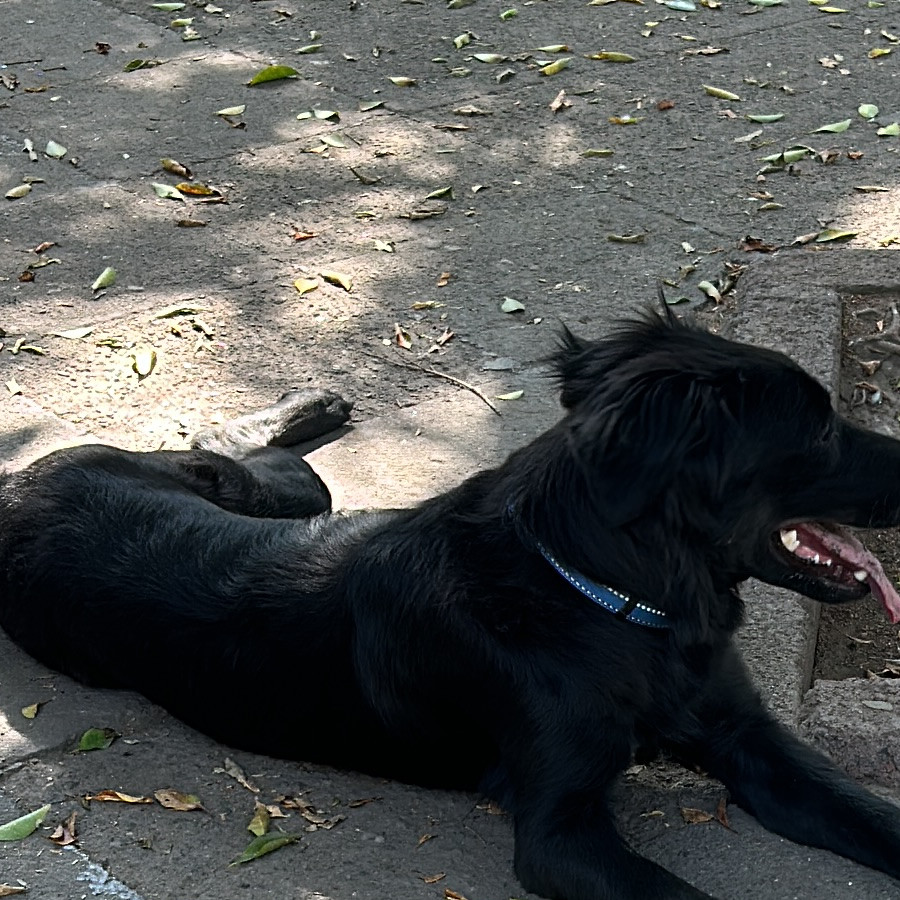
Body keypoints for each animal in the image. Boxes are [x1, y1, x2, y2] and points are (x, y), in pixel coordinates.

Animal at [1, 312, 900, 900]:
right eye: (819, 432)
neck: (597, 596)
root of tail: (16, 486)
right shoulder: (560, 832)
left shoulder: (748, 738)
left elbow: (872, 816)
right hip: (264, 492)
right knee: (215, 436)